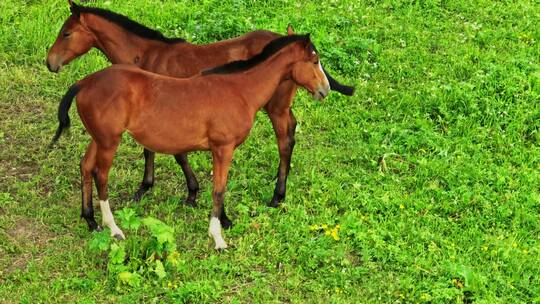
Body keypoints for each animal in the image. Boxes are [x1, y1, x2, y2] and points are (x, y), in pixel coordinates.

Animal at [44, 0, 352, 208]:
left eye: (66, 33)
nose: (50, 62)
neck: (146, 55)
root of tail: (285, 37)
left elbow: (174, 154)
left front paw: (187, 192)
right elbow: (153, 149)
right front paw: (149, 186)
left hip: (275, 108)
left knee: (285, 141)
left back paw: (278, 195)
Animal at [51, 34, 330, 248]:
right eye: (315, 60)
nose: (325, 90)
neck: (240, 89)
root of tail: (84, 82)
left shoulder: (220, 151)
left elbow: (217, 186)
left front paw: (224, 221)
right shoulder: (223, 148)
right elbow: (219, 189)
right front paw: (218, 237)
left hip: (99, 139)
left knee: (86, 166)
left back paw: (90, 221)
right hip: (109, 142)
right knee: (101, 176)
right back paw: (113, 228)